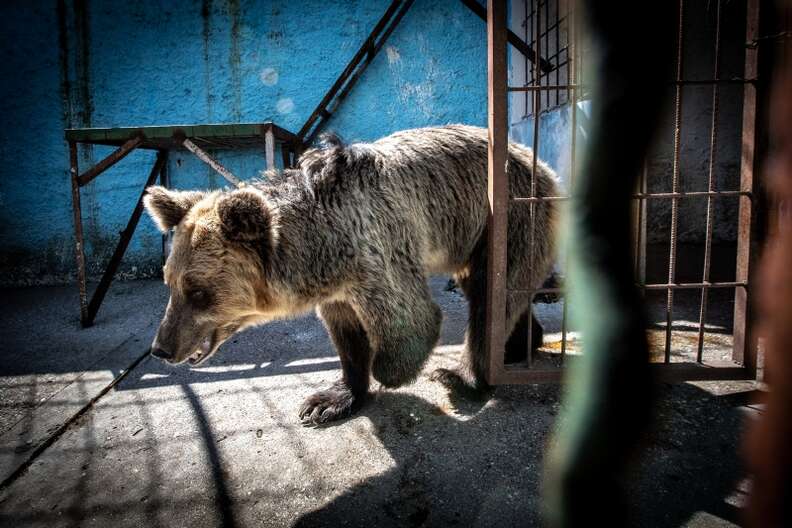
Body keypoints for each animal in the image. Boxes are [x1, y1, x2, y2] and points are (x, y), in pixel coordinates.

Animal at [142, 125, 556, 424]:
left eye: (198, 291)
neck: (323, 244)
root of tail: (535, 158)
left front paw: (390, 373)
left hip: (507, 216)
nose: (161, 348)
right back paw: (522, 344)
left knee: (492, 295)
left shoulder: (377, 247)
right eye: (170, 282)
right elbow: (346, 336)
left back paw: (464, 376)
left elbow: (413, 318)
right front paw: (330, 400)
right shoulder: (337, 285)